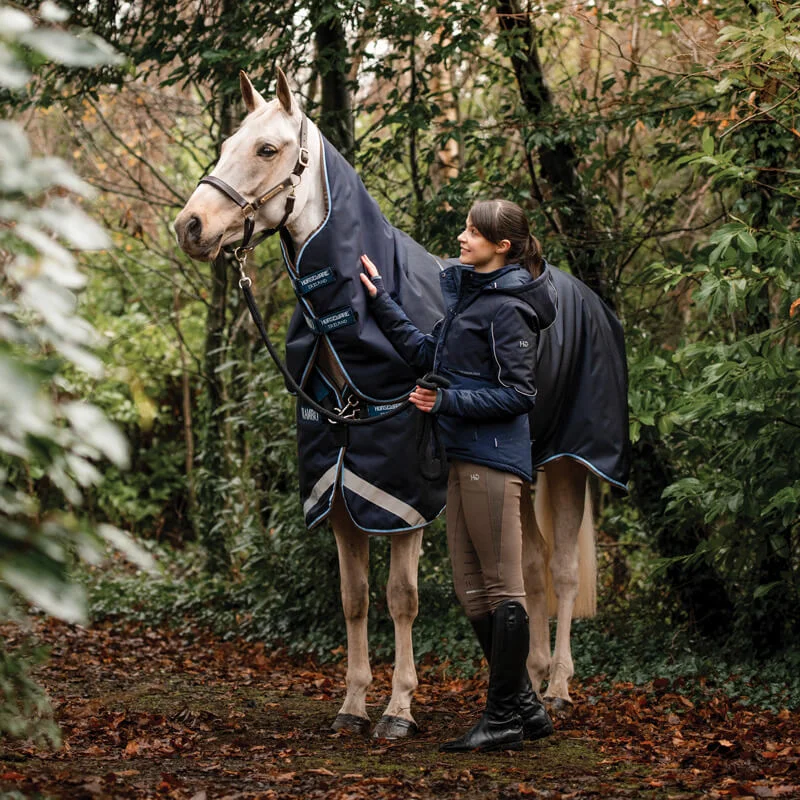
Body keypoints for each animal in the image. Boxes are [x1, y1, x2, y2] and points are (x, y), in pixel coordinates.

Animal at [175, 69, 612, 732]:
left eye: (267, 149)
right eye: (227, 143)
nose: (190, 227)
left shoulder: (405, 495)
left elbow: (401, 598)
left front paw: (399, 707)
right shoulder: (337, 487)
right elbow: (354, 599)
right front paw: (353, 703)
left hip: (568, 464)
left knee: (560, 570)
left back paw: (558, 687)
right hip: (521, 466)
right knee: (531, 567)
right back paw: (533, 678)